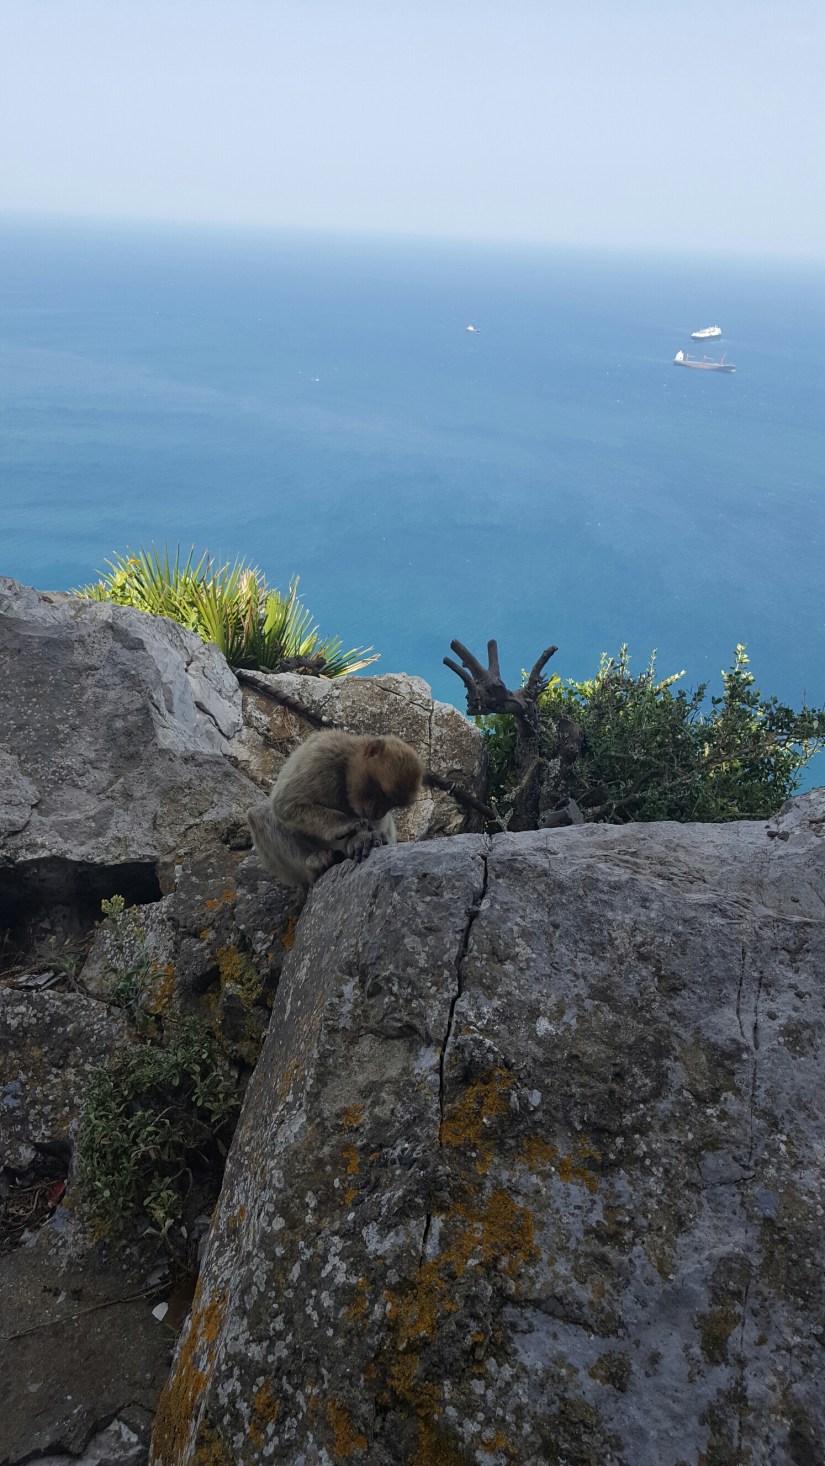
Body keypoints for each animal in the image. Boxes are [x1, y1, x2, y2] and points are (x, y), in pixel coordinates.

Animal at [247, 731, 425, 888]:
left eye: (391, 804)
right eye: (382, 794)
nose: (378, 813)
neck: (346, 769)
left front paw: (363, 838)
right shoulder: (325, 756)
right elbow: (287, 803)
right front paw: (346, 824)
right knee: (259, 815)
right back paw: (316, 862)